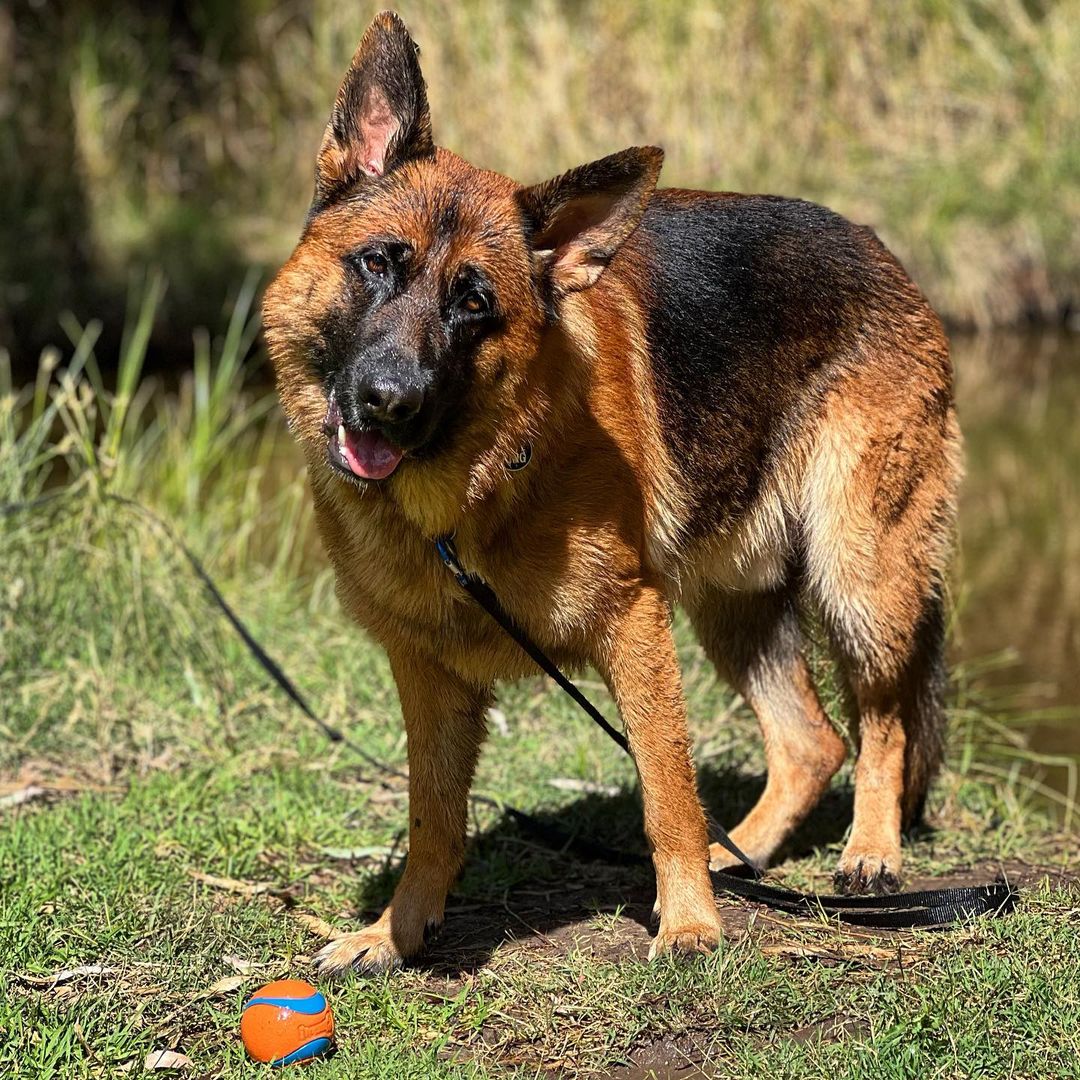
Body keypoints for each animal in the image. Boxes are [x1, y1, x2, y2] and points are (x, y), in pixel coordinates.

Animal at [263, 10, 963, 980]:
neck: (467, 500)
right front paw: (394, 934)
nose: (388, 401)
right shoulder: (427, 673)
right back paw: (745, 853)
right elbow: (433, 818)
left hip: (860, 575)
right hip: (734, 605)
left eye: (472, 303)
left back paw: (870, 850)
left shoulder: (633, 627)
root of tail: (883, 253)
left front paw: (691, 925)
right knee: (811, 741)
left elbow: (666, 793)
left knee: (881, 718)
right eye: (376, 265)